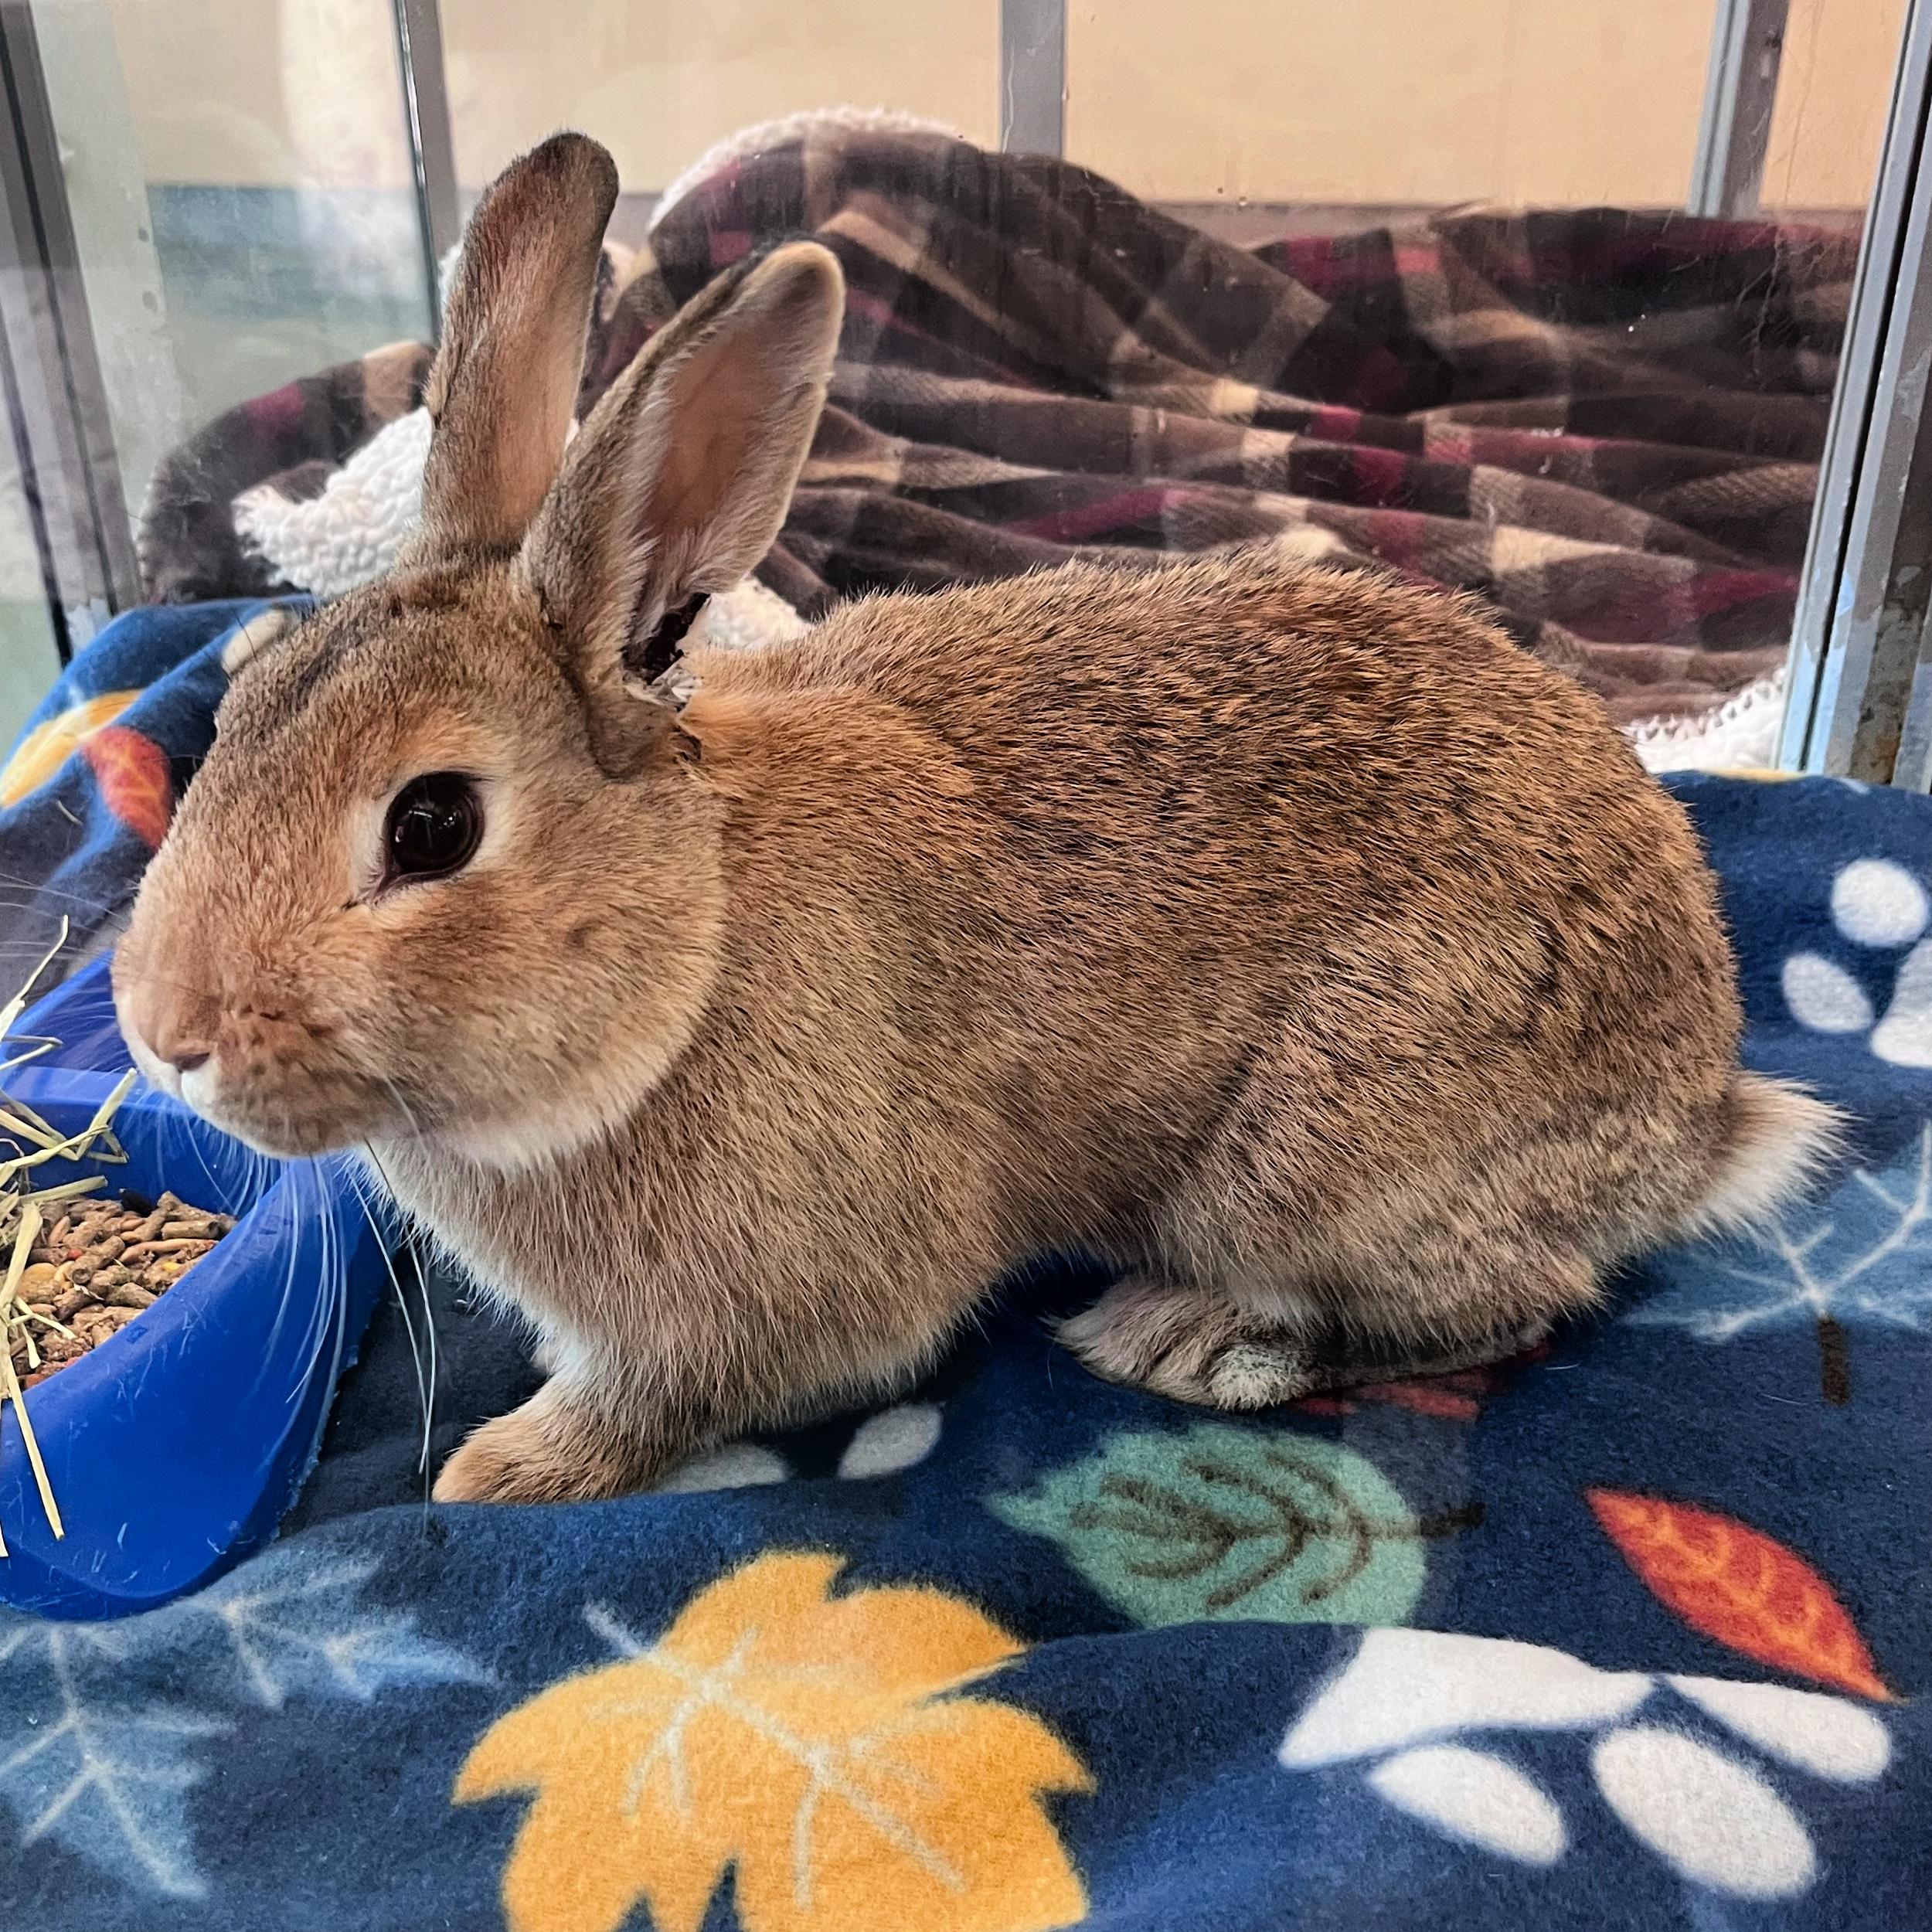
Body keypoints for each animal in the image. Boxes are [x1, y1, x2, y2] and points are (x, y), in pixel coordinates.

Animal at [112, 133, 1841, 1505]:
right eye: (234, 705)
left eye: (430, 828)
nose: (163, 1031)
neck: (687, 955)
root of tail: (1699, 1107)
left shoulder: (743, 1320)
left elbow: (656, 1404)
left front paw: (501, 1469)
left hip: (1320, 1156)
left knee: (1513, 1300)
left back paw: (1189, 1334)